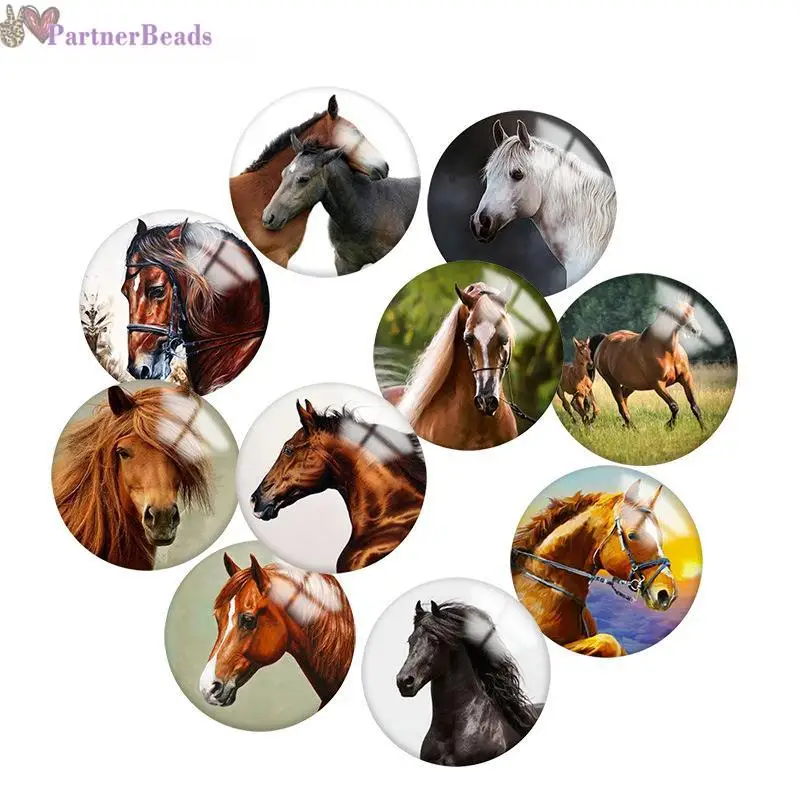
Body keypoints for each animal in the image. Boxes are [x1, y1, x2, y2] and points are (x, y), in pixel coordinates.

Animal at [590, 300, 704, 430]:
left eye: (692, 310)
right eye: (676, 313)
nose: (696, 330)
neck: (668, 351)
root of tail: (603, 342)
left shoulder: (686, 378)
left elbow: (695, 406)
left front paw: (703, 429)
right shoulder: (658, 384)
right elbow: (674, 406)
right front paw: (669, 426)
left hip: (631, 384)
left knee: (623, 399)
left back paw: (625, 425)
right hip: (612, 382)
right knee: (622, 405)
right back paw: (633, 429)